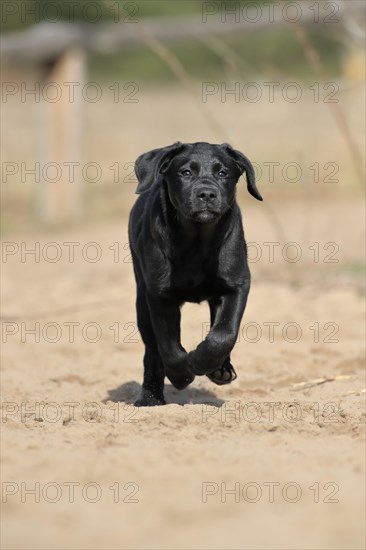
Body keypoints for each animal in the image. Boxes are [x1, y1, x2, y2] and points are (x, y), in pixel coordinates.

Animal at [127, 143, 262, 406]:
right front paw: (181, 375)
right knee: (152, 349)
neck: (197, 239)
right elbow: (168, 344)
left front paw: (202, 361)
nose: (207, 194)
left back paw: (220, 369)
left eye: (223, 173)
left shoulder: (237, 284)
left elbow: (223, 334)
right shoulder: (159, 295)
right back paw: (150, 397)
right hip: (141, 299)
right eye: (185, 173)